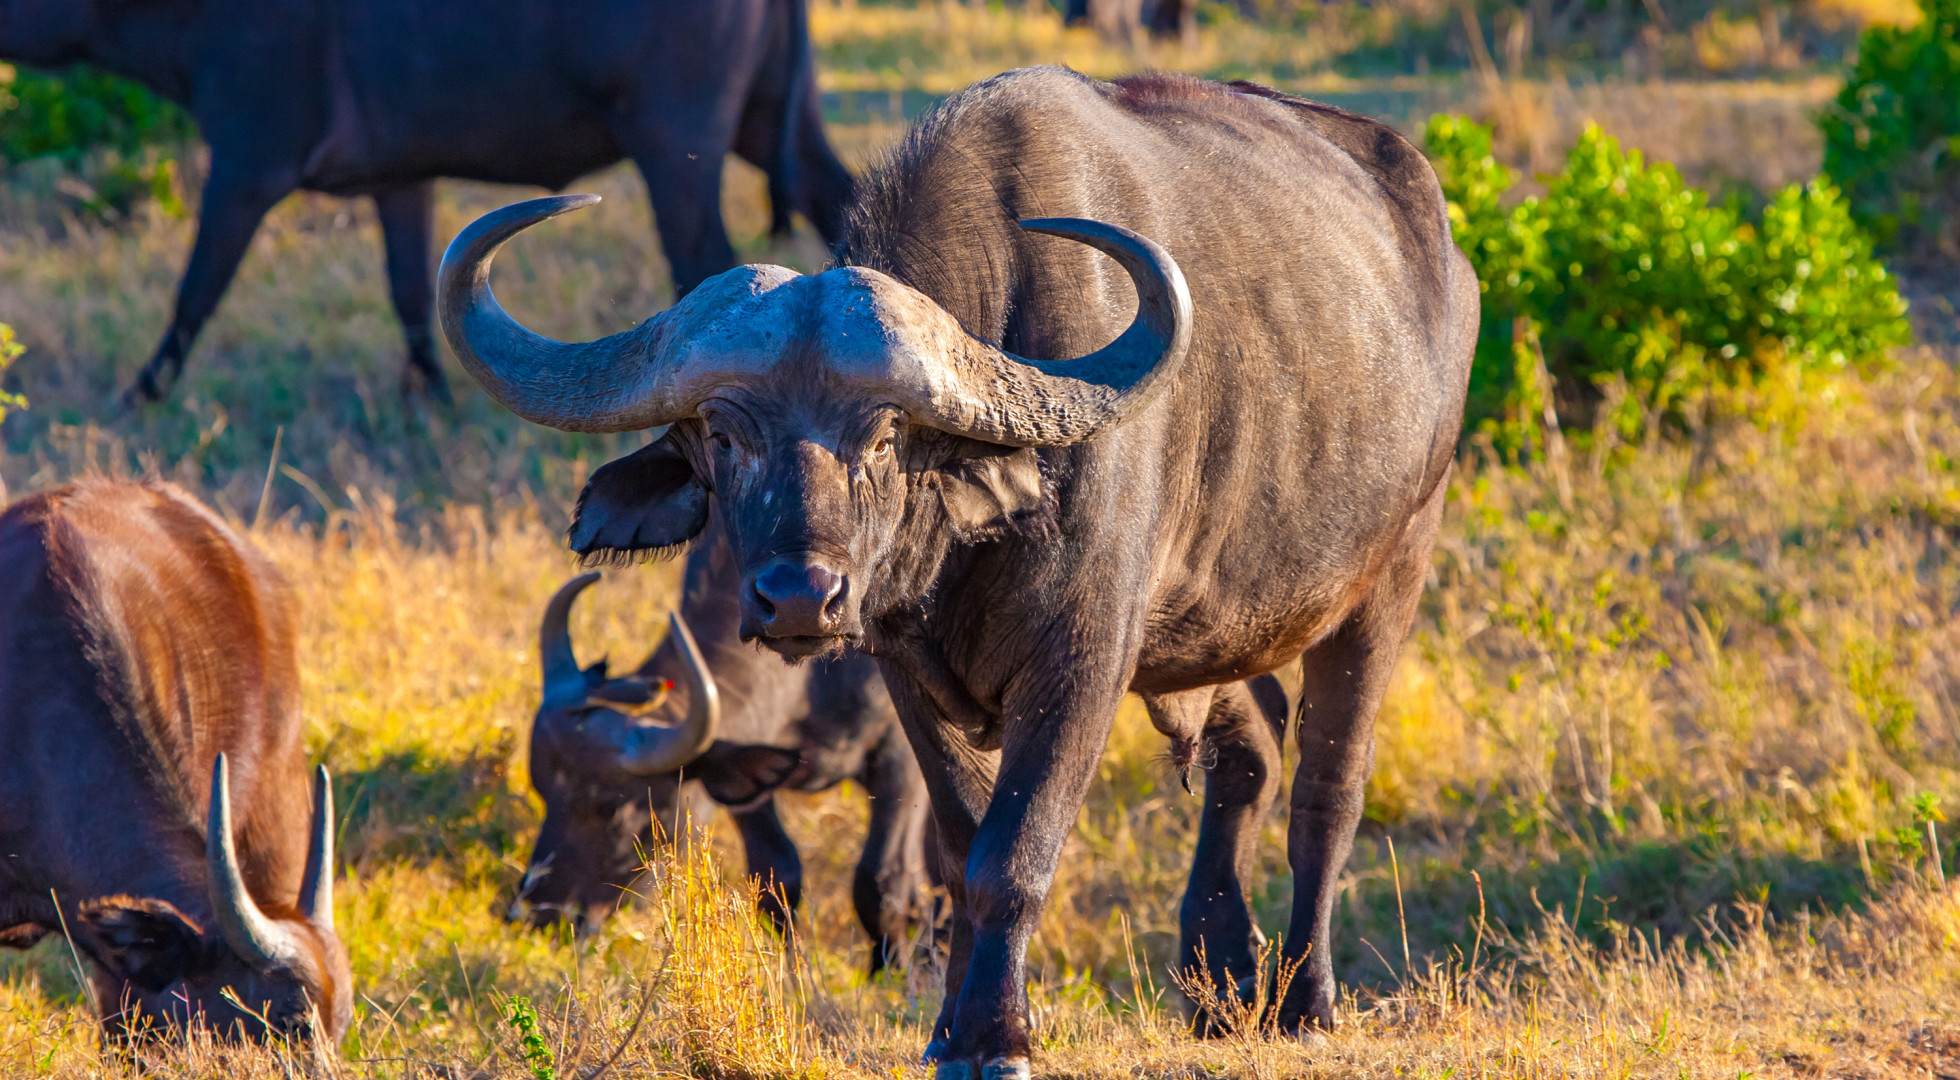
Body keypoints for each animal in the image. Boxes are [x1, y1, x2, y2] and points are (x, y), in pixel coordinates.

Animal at [0, 0, 852, 403]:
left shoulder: (244, 168)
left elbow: (195, 292)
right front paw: (433, 397)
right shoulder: (399, 184)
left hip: (676, 150)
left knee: (707, 265)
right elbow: (412, 292)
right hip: (771, 125)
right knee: (837, 198)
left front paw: (138, 396)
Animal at [515, 524, 936, 975]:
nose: (537, 914)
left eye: (615, 810)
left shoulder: (902, 762)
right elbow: (775, 875)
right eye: (545, 794)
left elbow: (883, 882)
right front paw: (791, 972)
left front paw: (894, 974)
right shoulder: (749, 782)